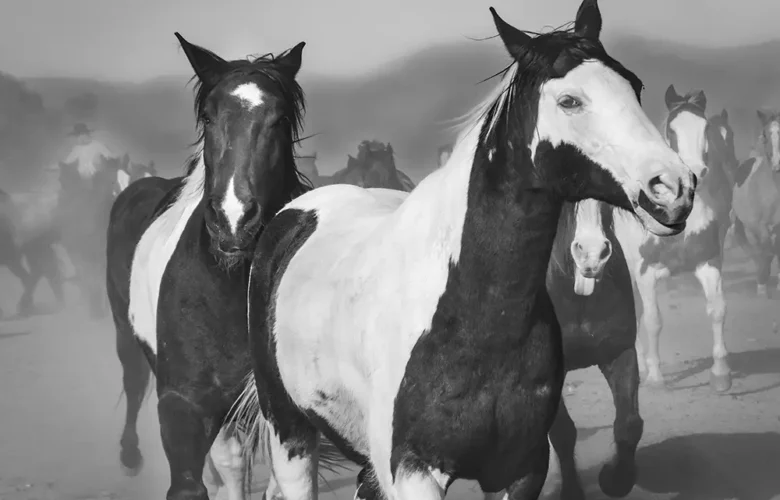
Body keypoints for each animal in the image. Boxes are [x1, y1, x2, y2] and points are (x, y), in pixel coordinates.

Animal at [106, 33, 345, 500]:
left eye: (279, 119)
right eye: (209, 116)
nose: (235, 221)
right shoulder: (184, 405)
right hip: (126, 334)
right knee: (133, 380)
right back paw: (128, 455)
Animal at [242, 1, 695, 499]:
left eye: (634, 85)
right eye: (569, 101)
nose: (674, 188)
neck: (473, 317)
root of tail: (296, 211)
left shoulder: (519, 469)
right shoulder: (413, 471)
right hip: (290, 433)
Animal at [612, 84, 738, 393]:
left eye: (705, 128)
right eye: (671, 130)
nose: (696, 171)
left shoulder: (708, 262)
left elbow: (717, 310)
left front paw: (721, 373)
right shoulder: (645, 273)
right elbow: (654, 321)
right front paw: (656, 377)